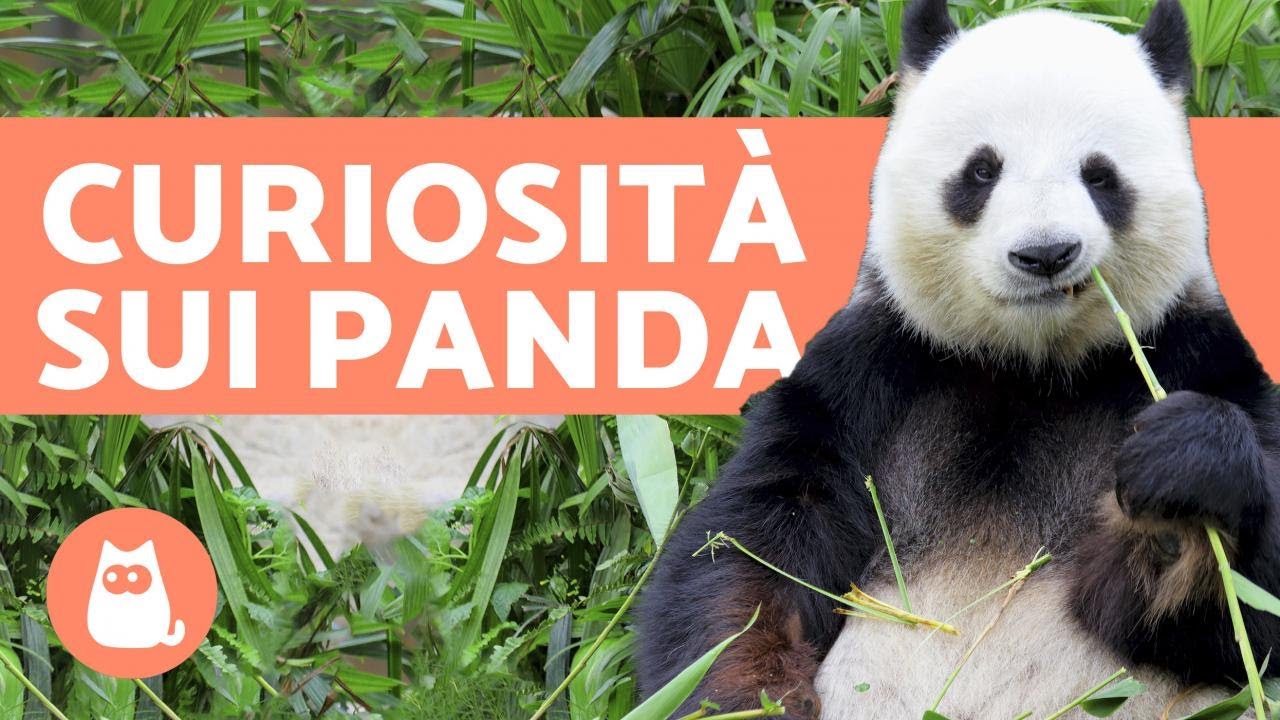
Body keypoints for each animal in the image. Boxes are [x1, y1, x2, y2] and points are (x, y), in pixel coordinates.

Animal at [637, 1, 1280, 718]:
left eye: (1100, 175)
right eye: (981, 170)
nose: (1045, 254)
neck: (1030, 366)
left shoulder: (1193, 354)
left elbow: (1244, 618)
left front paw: (1180, 494)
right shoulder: (870, 373)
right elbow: (751, 550)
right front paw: (752, 694)